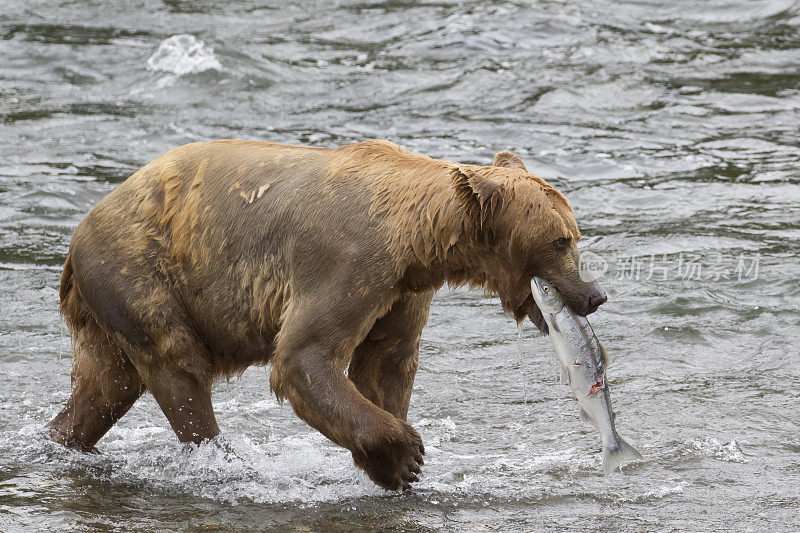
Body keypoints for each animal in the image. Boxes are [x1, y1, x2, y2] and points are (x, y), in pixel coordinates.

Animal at [45, 139, 608, 488]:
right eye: (562, 240)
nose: (593, 295)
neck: (421, 243)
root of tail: (76, 237)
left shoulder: (402, 291)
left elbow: (386, 362)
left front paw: (388, 461)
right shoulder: (349, 260)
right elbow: (305, 354)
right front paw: (405, 457)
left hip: (107, 308)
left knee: (106, 386)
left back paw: (61, 439)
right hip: (138, 269)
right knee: (175, 363)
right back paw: (224, 459)